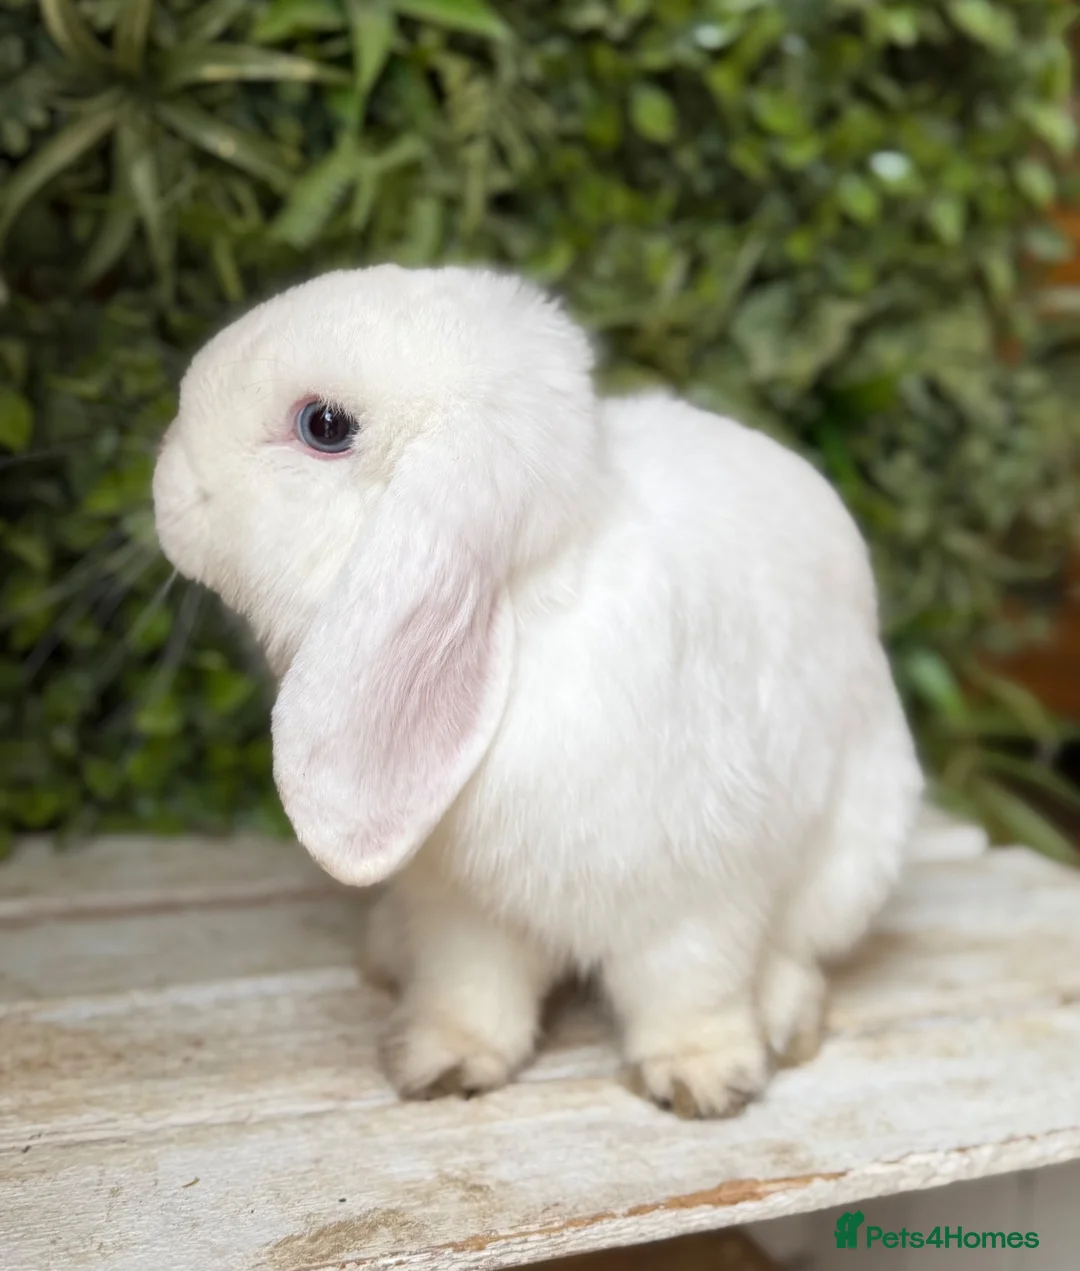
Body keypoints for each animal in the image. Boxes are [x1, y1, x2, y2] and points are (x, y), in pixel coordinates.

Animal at [152, 264, 924, 1118]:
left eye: (323, 425)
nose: (167, 473)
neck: (526, 614)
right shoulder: (465, 907)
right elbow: (472, 989)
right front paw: (444, 1064)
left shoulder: (697, 891)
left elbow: (693, 989)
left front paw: (704, 1078)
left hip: (855, 854)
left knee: (796, 947)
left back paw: (784, 1015)